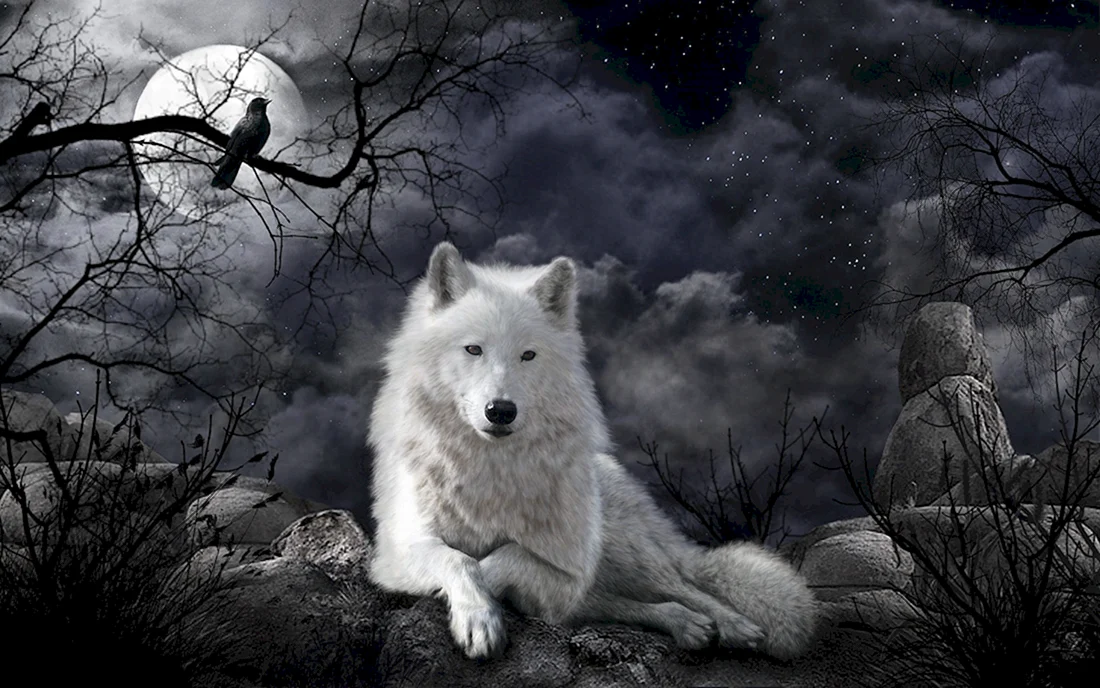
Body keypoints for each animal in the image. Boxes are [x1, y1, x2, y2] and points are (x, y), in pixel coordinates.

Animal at [368, 241, 817, 661]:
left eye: (528, 355)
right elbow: (458, 559)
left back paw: (736, 626)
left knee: (687, 587)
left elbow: (505, 556)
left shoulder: (568, 571)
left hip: (627, 552)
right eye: (473, 349)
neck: (490, 469)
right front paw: (478, 618)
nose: (501, 411)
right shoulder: (397, 553)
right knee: (632, 603)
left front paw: (483, 603)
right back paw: (688, 625)